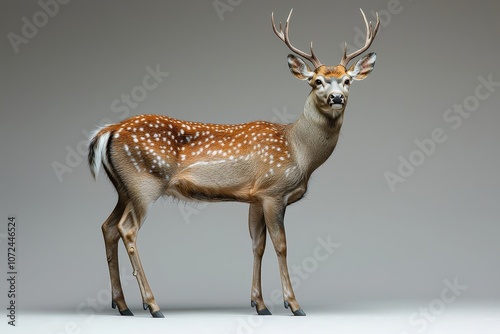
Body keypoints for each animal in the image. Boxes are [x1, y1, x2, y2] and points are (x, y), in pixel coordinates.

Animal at [89, 8, 378, 318]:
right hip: (144, 182)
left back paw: (122, 305)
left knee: (107, 226)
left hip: (124, 188)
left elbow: (257, 244)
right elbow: (281, 245)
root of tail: (109, 131)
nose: (337, 97)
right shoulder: (274, 191)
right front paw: (293, 304)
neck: (298, 150)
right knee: (127, 229)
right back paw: (153, 305)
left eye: (347, 80)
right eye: (317, 81)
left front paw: (260, 304)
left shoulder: (255, 197)